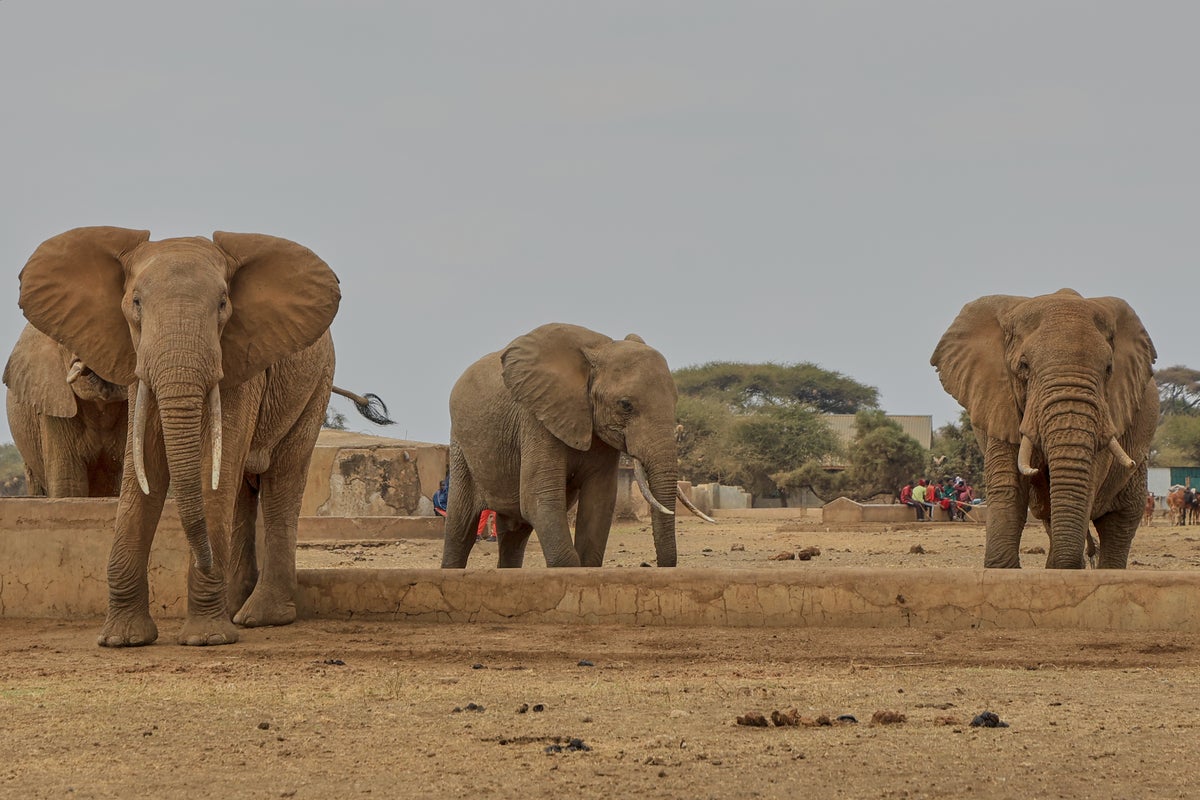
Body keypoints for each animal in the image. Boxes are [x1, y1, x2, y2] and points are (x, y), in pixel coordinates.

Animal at [18, 226, 388, 647]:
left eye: (223, 305)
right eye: (136, 303)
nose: (205, 558)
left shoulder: (239, 359)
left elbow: (217, 465)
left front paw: (206, 639)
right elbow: (143, 464)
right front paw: (123, 640)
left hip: (315, 387)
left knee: (281, 479)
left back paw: (258, 617)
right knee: (244, 493)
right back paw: (235, 607)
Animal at [441, 322, 711, 570]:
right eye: (625, 405)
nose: (654, 565)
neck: (598, 350)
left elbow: (599, 502)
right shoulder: (536, 418)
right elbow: (540, 501)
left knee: (514, 534)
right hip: (461, 449)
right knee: (461, 528)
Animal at [931, 289, 1157, 569]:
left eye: (1108, 369)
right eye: (1024, 366)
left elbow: (1087, 485)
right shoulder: (1001, 402)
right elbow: (1009, 487)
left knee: (1121, 521)